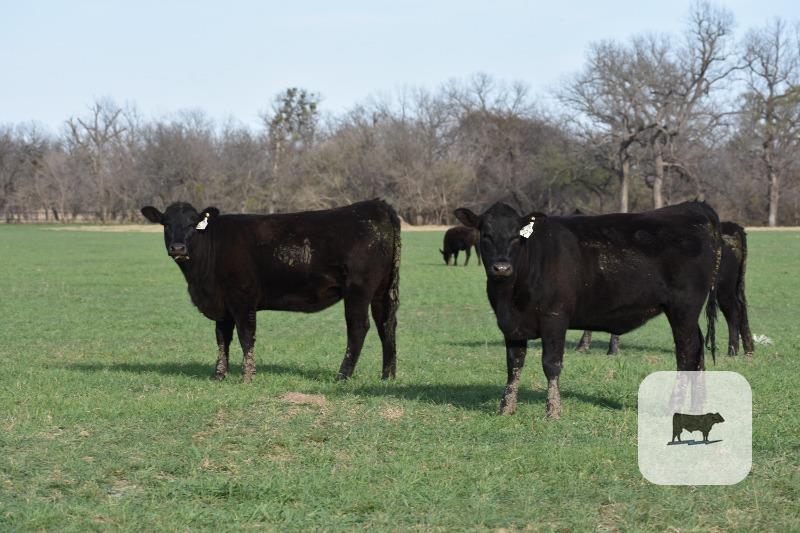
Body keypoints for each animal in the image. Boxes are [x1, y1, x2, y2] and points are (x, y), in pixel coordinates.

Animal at [140, 199, 401, 382]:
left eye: (193, 224)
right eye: (165, 224)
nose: (178, 248)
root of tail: (375, 205)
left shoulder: (242, 298)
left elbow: (246, 336)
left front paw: (247, 376)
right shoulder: (222, 304)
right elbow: (222, 338)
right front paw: (219, 375)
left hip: (358, 289)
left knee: (358, 328)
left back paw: (342, 376)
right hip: (382, 289)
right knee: (386, 325)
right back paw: (387, 376)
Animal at [454, 201, 720, 419]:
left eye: (516, 237)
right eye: (486, 235)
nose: (501, 267)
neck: (510, 295)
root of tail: (693, 207)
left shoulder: (554, 318)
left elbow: (551, 364)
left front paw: (553, 411)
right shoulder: (512, 324)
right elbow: (514, 365)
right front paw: (505, 409)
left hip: (683, 308)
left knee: (686, 354)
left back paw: (676, 405)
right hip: (687, 314)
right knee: (698, 352)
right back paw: (697, 405)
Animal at [576, 221, 753, 357]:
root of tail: (732, 226)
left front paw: (608, 350)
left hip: (724, 287)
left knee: (733, 312)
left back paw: (732, 351)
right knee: (742, 308)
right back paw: (748, 350)